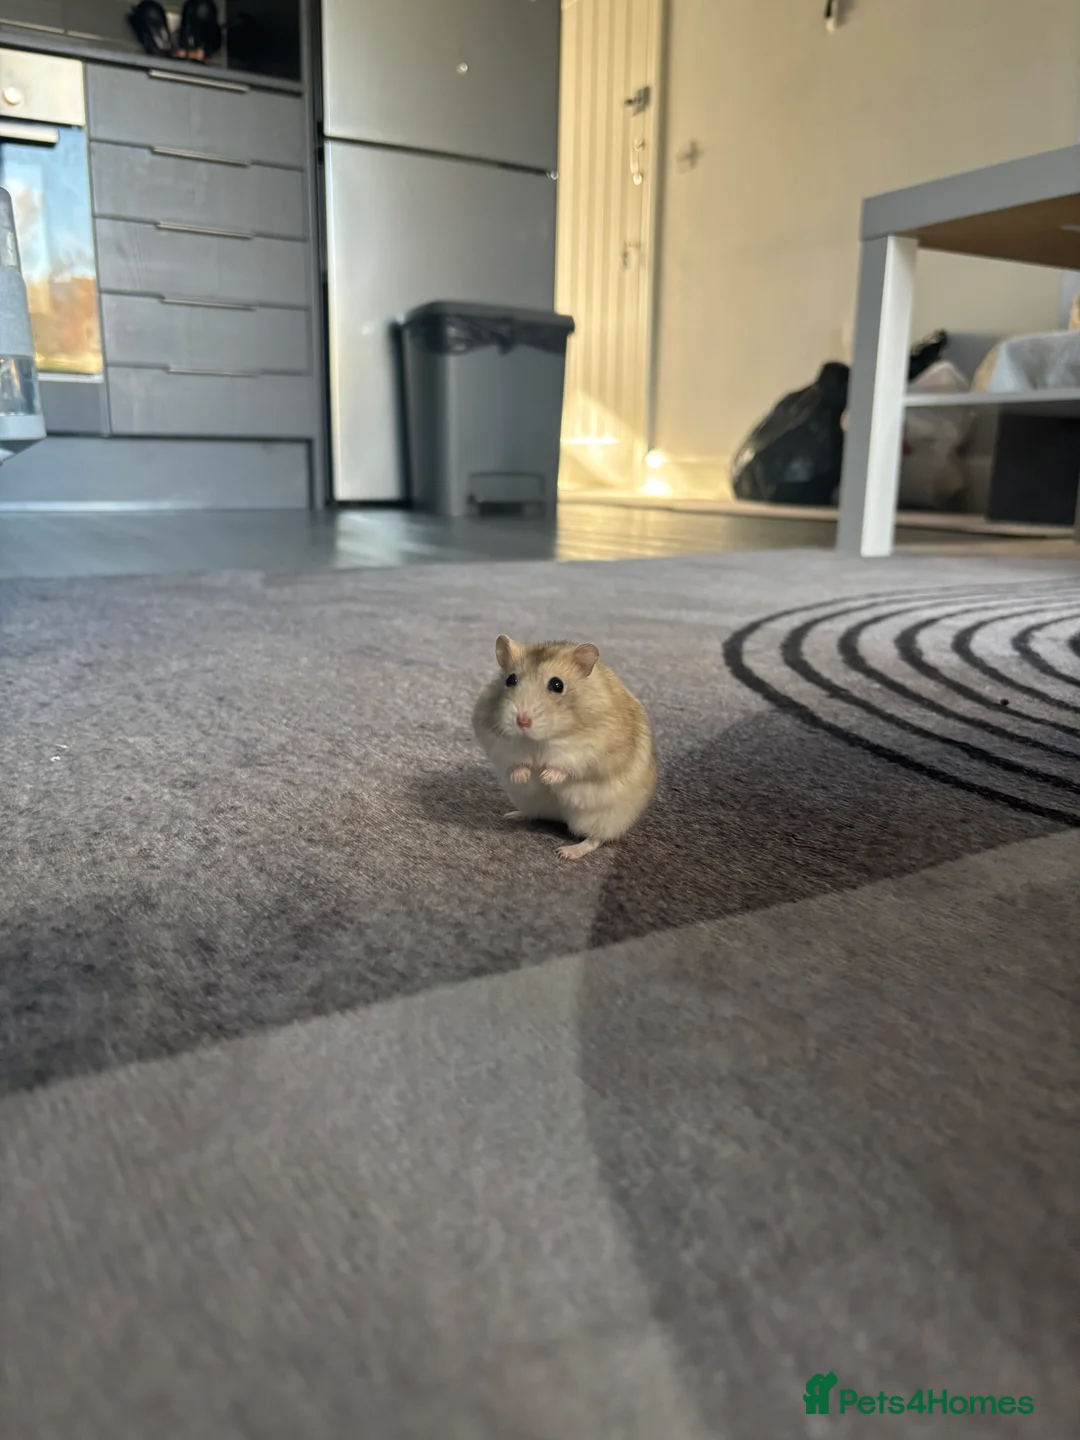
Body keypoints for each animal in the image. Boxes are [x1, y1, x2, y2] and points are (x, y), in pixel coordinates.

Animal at [472, 635, 657, 860]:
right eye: (510, 679)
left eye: (557, 684)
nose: (522, 721)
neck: (539, 740)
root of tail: (559, 817)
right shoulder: (498, 743)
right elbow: (515, 762)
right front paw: (524, 776)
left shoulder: (590, 750)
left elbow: (565, 765)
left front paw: (545, 776)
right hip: (529, 801)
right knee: (534, 814)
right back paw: (511, 815)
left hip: (603, 817)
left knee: (596, 839)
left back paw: (566, 852)